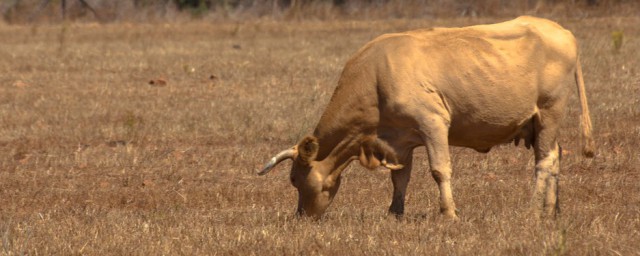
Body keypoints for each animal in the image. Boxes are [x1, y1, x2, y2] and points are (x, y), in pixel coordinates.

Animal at [258, 16, 596, 220]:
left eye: (294, 180)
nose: (301, 216)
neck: (376, 76)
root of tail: (562, 31)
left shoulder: (433, 124)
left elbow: (440, 170)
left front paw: (449, 214)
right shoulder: (399, 139)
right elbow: (400, 178)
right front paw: (395, 213)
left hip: (550, 111)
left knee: (545, 162)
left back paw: (533, 210)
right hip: (539, 124)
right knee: (555, 156)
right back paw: (552, 210)